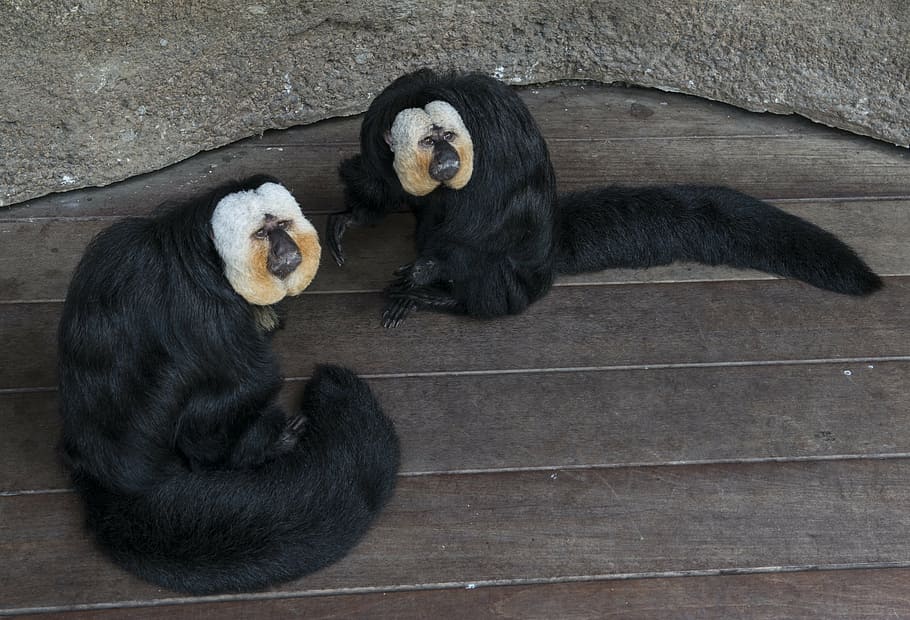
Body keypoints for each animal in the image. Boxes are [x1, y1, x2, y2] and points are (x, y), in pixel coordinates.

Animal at [57, 176, 400, 594]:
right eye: (262, 234)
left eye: (282, 226)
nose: (286, 249)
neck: (206, 258)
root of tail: (110, 479)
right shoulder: (209, 309)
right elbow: (251, 379)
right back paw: (264, 444)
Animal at [327, 69, 882, 327]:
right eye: (427, 141)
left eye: (446, 135)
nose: (444, 157)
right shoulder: (378, 134)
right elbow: (383, 185)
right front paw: (352, 216)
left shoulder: (496, 142)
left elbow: (494, 230)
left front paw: (428, 272)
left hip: (520, 284)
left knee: (494, 263)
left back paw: (448, 298)